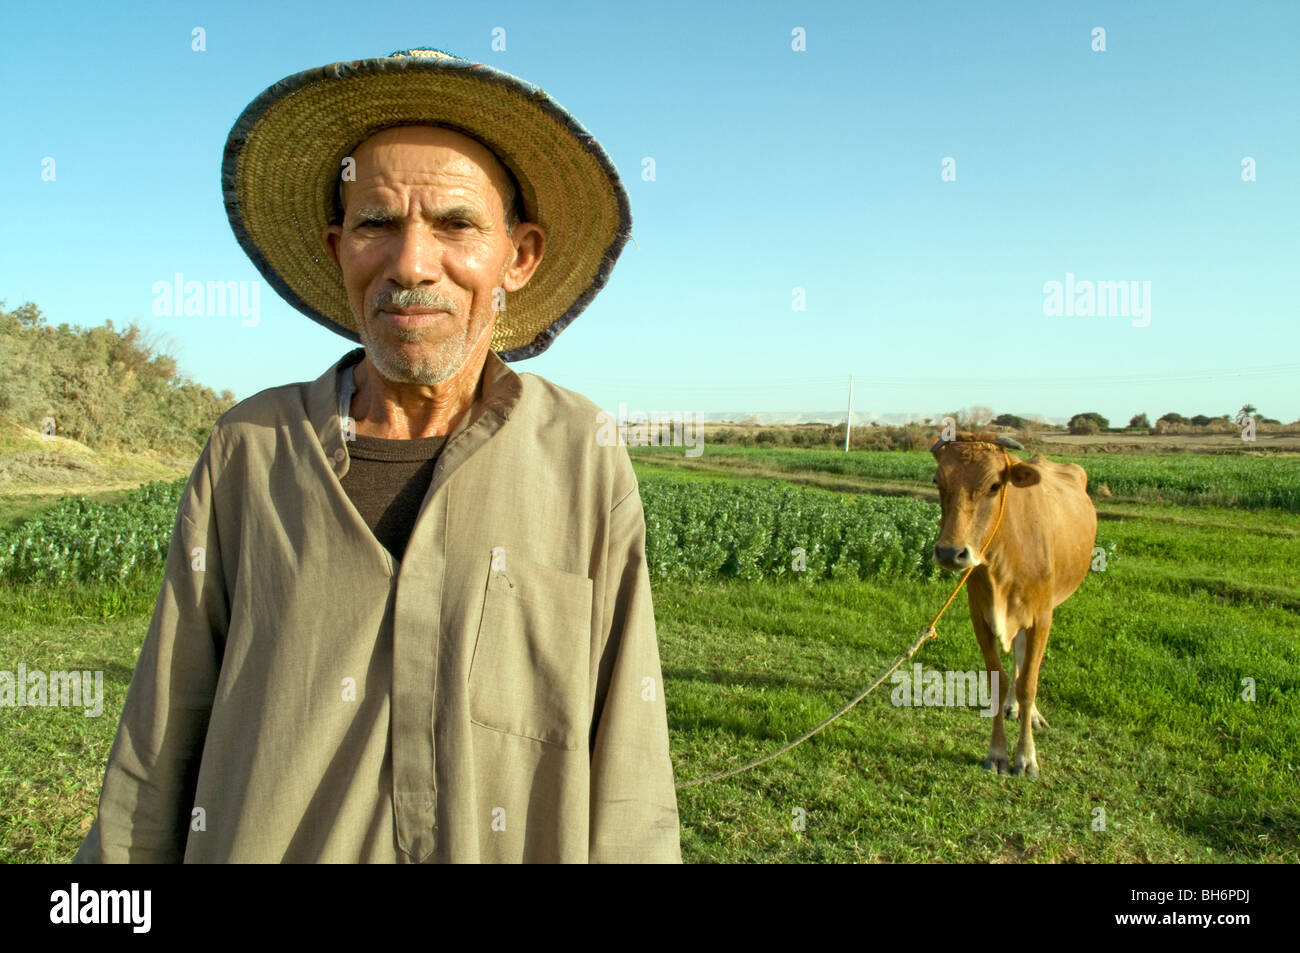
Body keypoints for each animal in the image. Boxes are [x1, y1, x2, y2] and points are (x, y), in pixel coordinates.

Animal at [928, 431, 1097, 777]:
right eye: (939, 481)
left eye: (994, 485)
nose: (950, 553)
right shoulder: (979, 617)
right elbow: (999, 681)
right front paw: (997, 753)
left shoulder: (1042, 618)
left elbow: (1029, 683)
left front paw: (1027, 756)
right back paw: (1013, 707)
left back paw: (1030, 714)